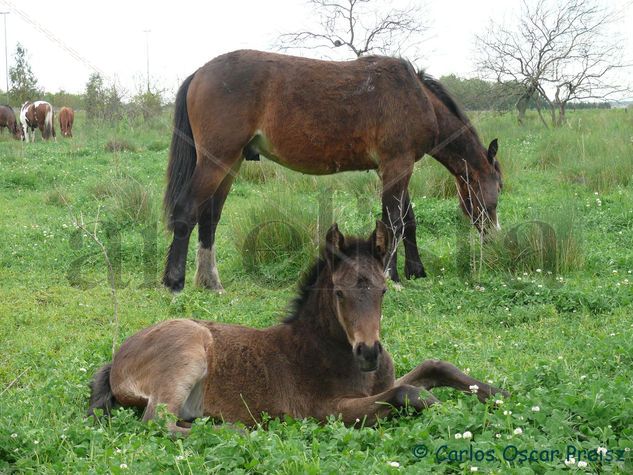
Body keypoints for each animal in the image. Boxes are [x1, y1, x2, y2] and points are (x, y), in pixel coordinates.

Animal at [87, 223, 508, 436]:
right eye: (339, 292)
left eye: (384, 290)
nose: (369, 352)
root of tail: (117, 358)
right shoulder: (325, 410)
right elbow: (408, 393)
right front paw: (452, 416)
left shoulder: (383, 381)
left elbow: (434, 367)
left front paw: (499, 395)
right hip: (190, 348)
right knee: (156, 421)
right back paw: (238, 431)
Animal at [160, 50, 502, 292]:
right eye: (498, 190)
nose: (493, 238)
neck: (416, 96)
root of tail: (200, 73)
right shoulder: (397, 165)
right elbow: (393, 222)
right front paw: (392, 277)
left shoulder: (397, 168)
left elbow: (408, 221)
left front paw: (415, 271)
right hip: (216, 161)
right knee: (187, 211)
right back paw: (174, 282)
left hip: (229, 164)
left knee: (210, 217)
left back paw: (210, 282)